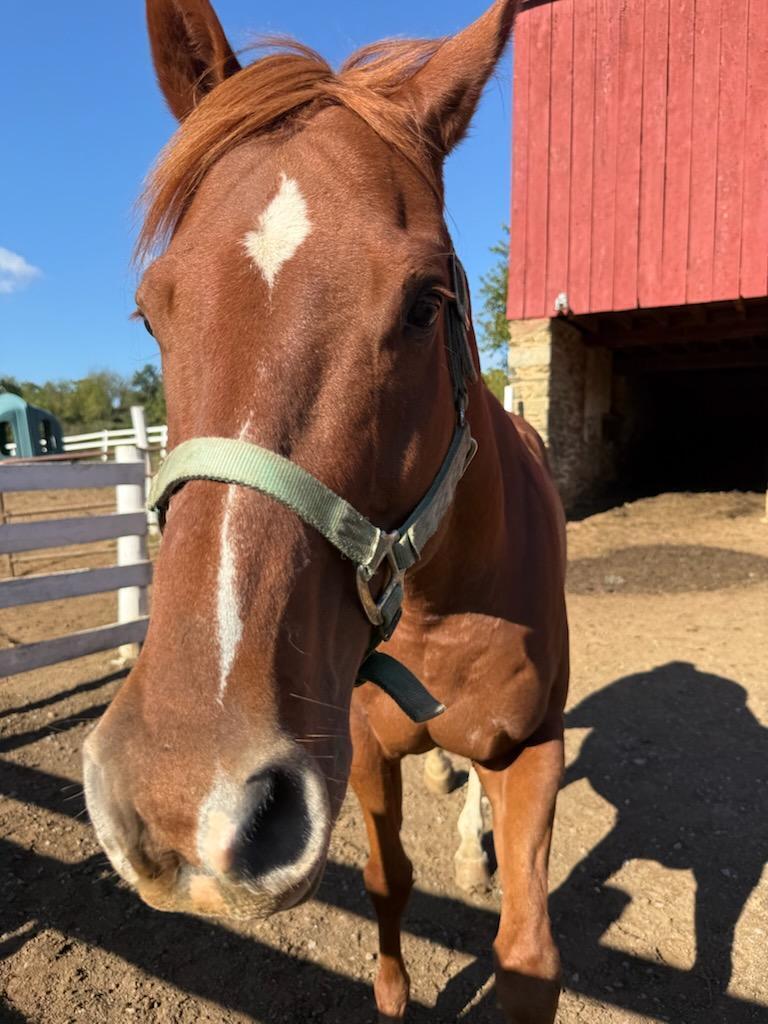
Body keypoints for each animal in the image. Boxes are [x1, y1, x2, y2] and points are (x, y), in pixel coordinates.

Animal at [83, 1, 569, 1020]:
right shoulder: (363, 744)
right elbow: (388, 882)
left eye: (428, 302)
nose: (182, 797)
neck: (440, 607)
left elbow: (527, 951)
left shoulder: (535, 747)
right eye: (152, 312)